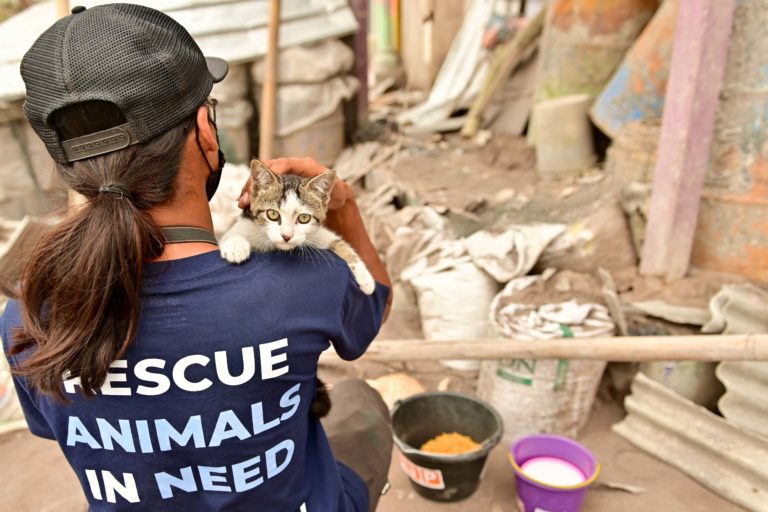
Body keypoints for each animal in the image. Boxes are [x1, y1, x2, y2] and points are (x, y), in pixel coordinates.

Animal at [219, 159, 378, 416]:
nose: (286, 236)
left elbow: (340, 243)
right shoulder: (244, 225)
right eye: (273, 214)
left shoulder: (318, 235)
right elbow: (232, 236)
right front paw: (235, 247)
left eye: (303, 218)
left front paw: (366, 278)